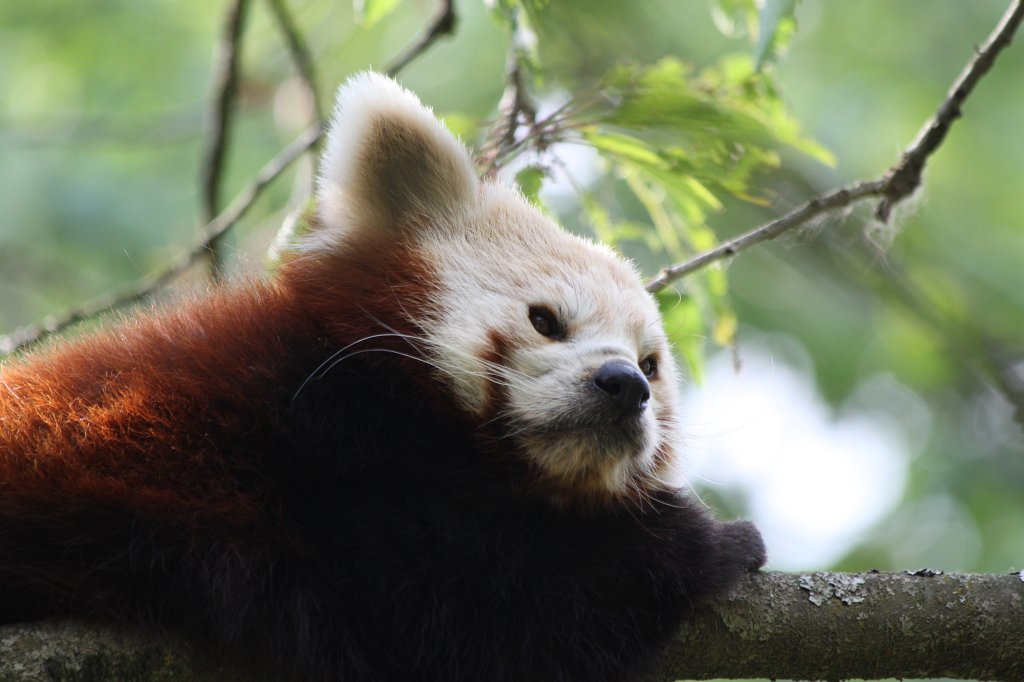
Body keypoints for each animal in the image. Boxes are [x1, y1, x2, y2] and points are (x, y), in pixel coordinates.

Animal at [0, 72, 765, 681]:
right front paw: (703, 542)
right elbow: (469, 603)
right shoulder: (323, 451)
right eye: (546, 320)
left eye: (651, 366)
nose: (623, 386)